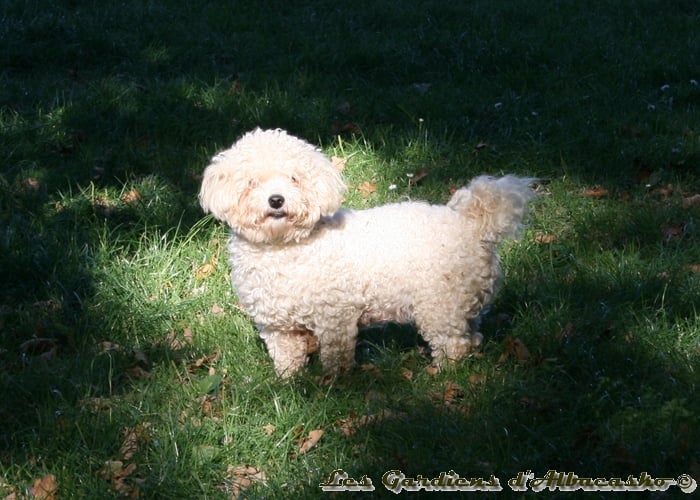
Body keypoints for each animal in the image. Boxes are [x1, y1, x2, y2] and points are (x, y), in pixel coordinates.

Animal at [200, 129, 532, 378]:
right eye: (251, 182)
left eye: (294, 178)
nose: (276, 200)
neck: (285, 247)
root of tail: (471, 223)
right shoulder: (276, 327)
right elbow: (287, 358)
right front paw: (290, 384)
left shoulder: (334, 317)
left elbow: (336, 357)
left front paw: (334, 386)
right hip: (462, 302)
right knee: (472, 335)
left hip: (439, 305)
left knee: (454, 344)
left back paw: (444, 374)